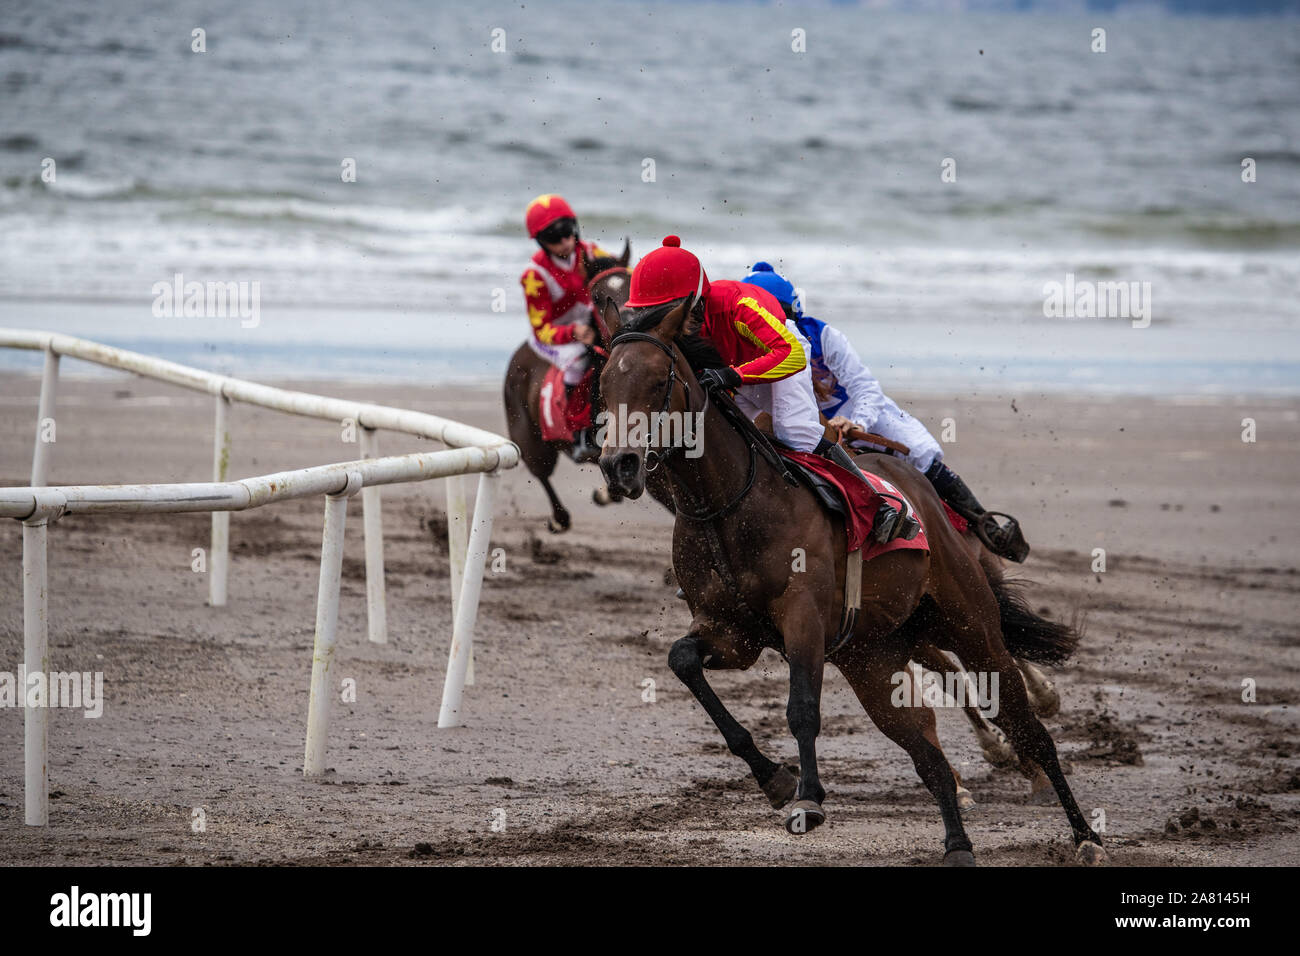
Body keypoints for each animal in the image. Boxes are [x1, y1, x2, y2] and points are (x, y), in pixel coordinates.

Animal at [595, 299, 1102, 868]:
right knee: (927, 752)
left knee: (1029, 728)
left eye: (657, 379)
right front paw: (775, 780)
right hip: (874, 659)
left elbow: (801, 709)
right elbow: (682, 661)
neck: (726, 506)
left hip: (973, 627)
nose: (619, 465)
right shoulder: (732, 632)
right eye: (603, 384)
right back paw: (958, 844)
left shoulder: (803, 618)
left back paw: (1084, 833)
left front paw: (808, 798)